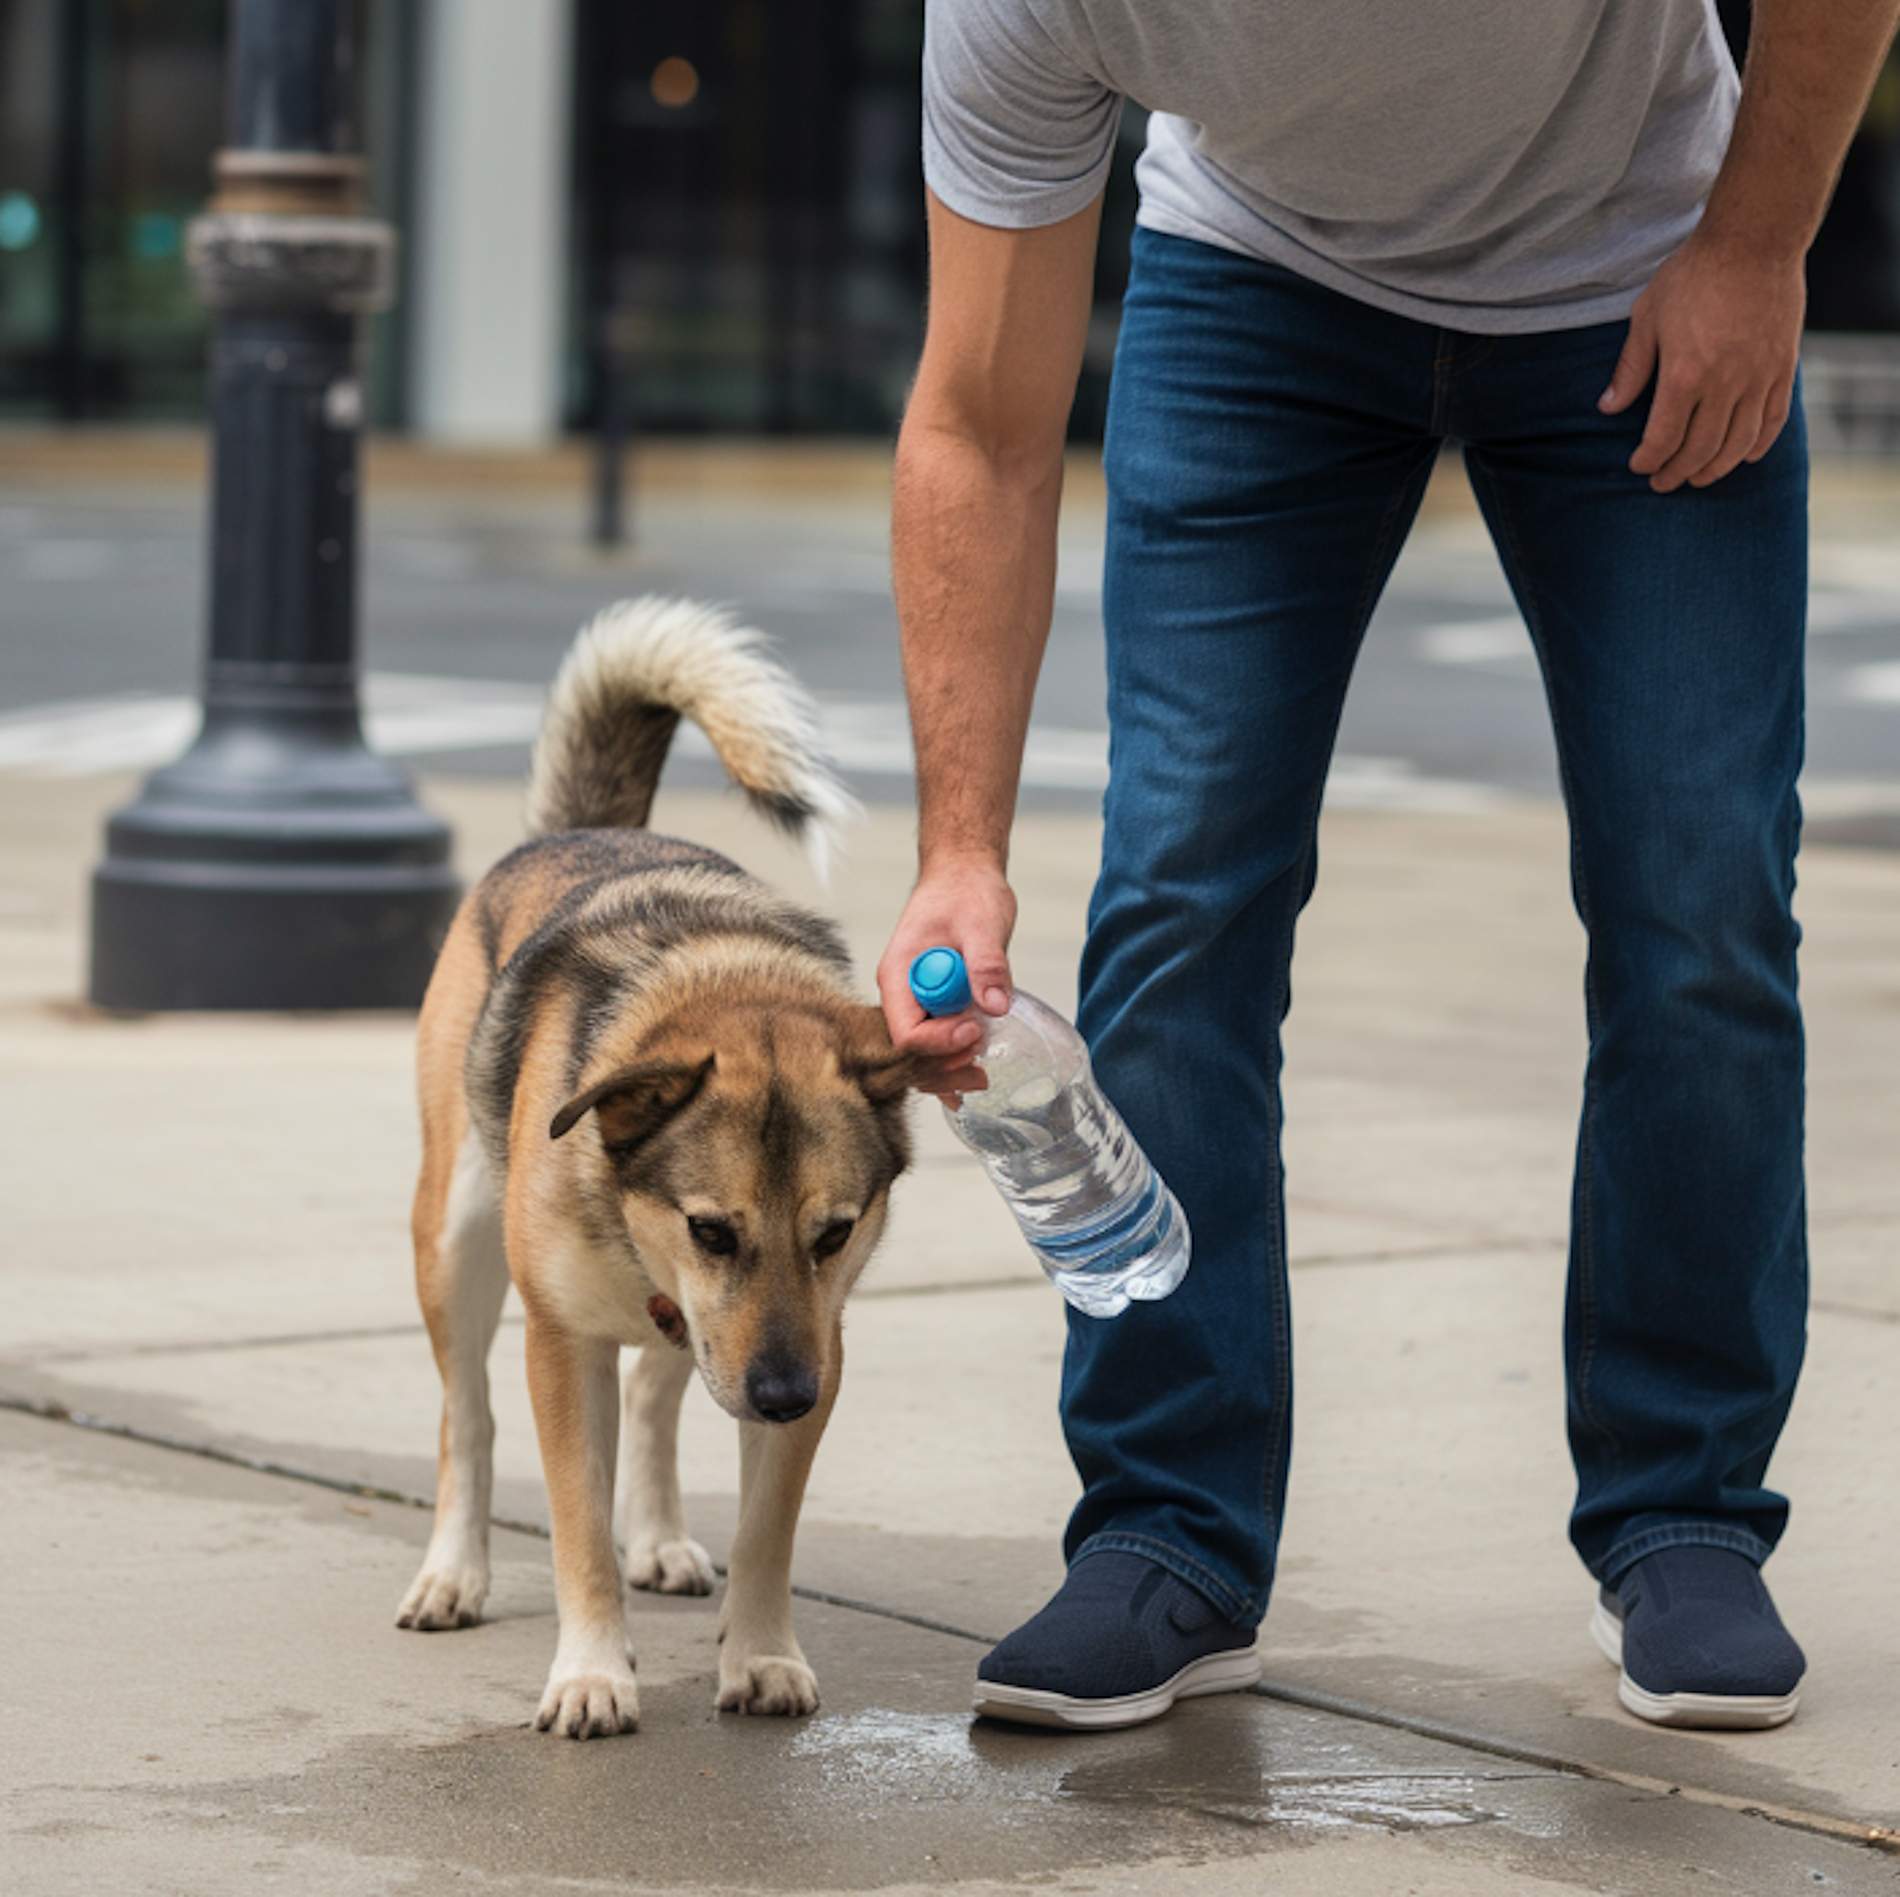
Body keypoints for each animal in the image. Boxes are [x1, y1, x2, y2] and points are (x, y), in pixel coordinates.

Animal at [393, 600, 912, 1741]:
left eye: (835, 1232)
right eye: (712, 1228)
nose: (783, 1396)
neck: (722, 981)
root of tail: (580, 828)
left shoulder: (808, 1341)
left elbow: (767, 1533)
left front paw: (761, 1656)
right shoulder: (564, 1342)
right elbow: (576, 1524)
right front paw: (592, 1673)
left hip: (699, 1334)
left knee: (656, 1392)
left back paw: (663, 1539)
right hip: (454, 1237)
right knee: (467, 1415)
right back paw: (454, 1573)